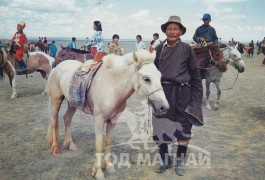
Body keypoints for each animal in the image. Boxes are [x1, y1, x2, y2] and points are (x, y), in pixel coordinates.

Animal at [46, 49, 168, 180]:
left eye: (160, 76)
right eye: (146, 78)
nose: (164, 107)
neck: (111, 85)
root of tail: (57, 67)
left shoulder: (113, 120)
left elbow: (108, 142)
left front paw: (108, 165)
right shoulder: (99, 120)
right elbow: (99, 144)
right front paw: (98, 172)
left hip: (72, 103)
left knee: (67, 119)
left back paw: (70, 144)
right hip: (56, 100)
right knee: (54, 121)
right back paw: (55, 148)